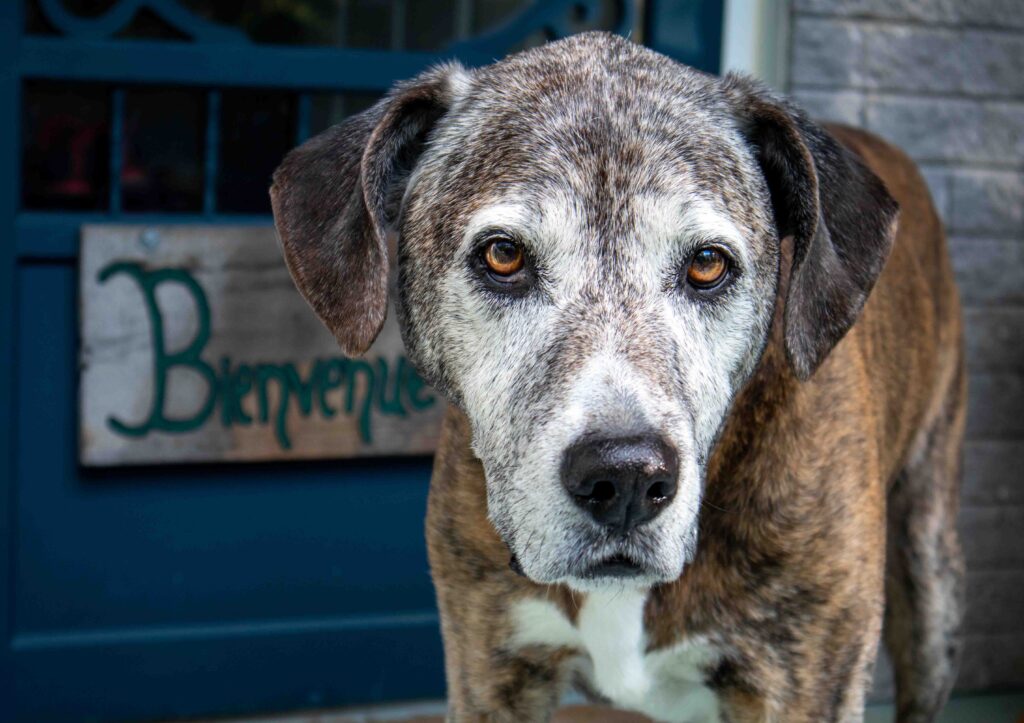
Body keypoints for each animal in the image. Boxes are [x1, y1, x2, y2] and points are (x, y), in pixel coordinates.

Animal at [268, 30, 962, 716]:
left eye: (708, 264)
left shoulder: (806, 682)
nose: (626, 477)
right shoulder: (488, 669)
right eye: (503, 254)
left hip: (930, 584)